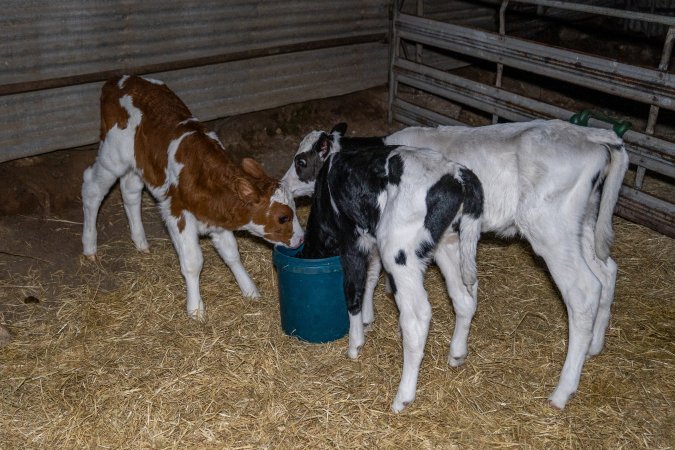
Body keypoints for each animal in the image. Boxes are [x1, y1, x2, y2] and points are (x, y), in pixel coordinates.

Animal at [82, 75, 303, 320]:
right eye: (283, 217)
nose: (301, 239)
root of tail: (118, 80)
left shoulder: (218, 220)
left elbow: (232, 254)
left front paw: (250, 290)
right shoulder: (178, 214)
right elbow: (193, 262)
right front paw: (196, 309)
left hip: (140, 164)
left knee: (130, 190)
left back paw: (140, 242)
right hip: (112, 155)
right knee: (92, 188)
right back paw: (90, 247)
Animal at [282, 120, 629, 409]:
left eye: (301, 161)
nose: (283, 184)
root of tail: (592, 135)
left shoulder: (370, 237)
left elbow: (364, 278)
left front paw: (360, 332)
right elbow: (373, 275)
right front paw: (370, 317)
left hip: (549, 230)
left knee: (583, 292)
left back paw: (562, 391)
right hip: (583, 225)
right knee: (606, 272)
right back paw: (595, 346)